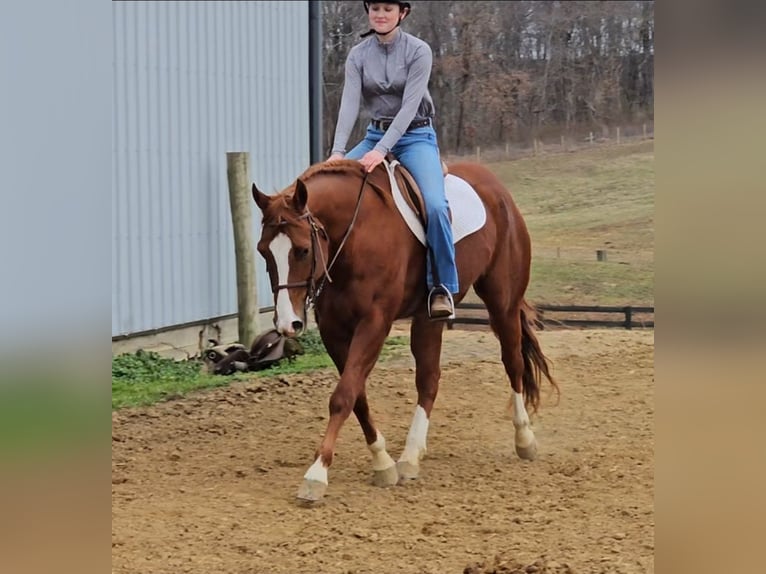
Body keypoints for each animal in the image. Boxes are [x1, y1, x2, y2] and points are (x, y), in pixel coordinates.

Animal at [251, 159, 557, 503]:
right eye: (263, 251)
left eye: (303, 250)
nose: (287, 324)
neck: (354, 237)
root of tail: (496, 186)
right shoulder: (333, 330)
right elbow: (357, 396)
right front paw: (382, 463)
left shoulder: (374, 323)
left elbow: (343, 395)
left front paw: (316, 474)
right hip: (428, 319)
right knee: (429, 379)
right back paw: (411, 456)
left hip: (502, 302)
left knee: (512, 363)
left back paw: (524, 438)